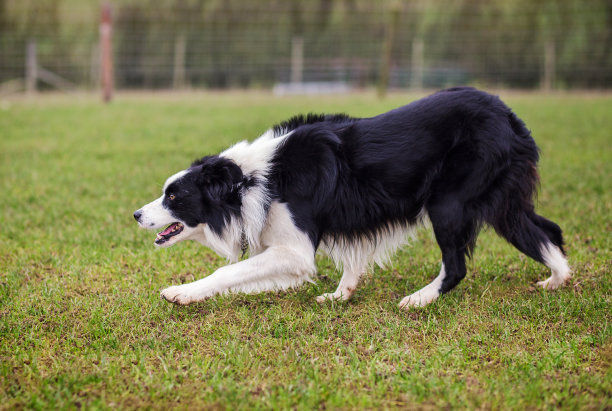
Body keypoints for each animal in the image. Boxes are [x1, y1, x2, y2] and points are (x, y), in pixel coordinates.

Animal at [133, 88, 568, 308]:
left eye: (174, 196)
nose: (136, 214)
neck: (247, 182)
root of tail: (507, 115)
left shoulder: (295, 247)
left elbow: (231, 271)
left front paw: (181, 293)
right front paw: (342, 293)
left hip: (449, 202)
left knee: (457, 265)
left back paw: (418, 300)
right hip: (501, 199)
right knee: (547, 230)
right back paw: (557, 280)